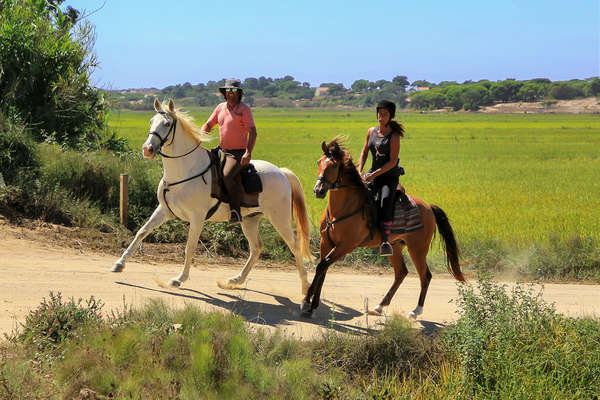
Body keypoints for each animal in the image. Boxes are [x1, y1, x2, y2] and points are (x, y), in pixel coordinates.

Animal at [110, 99, 314, 294]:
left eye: (167, 124)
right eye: (151, 121)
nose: (147, 149)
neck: (184, 169)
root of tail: (281, 172)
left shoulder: (197, 217)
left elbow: (190, 247)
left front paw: (179, 279)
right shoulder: (164, 211)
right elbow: (142, 232)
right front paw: (119, 264)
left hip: (279, 219)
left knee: (295, 246)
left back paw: (305, 287)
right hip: (250, 220)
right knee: (256, 248)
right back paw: (236, 280)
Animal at [302, 138, 466, 318]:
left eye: (333, 165)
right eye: (319, 162)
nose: (318, 190)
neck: (342, 208)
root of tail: (429, 207)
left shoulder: (345, 246)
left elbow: (322, 266)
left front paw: (310, 303)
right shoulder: (326, 242)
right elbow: (322, 269)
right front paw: (309, 303)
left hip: (417, 249)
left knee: (425, 275)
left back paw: (416, 311)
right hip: (395, 246)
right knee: (401, 273)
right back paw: (380, 306)